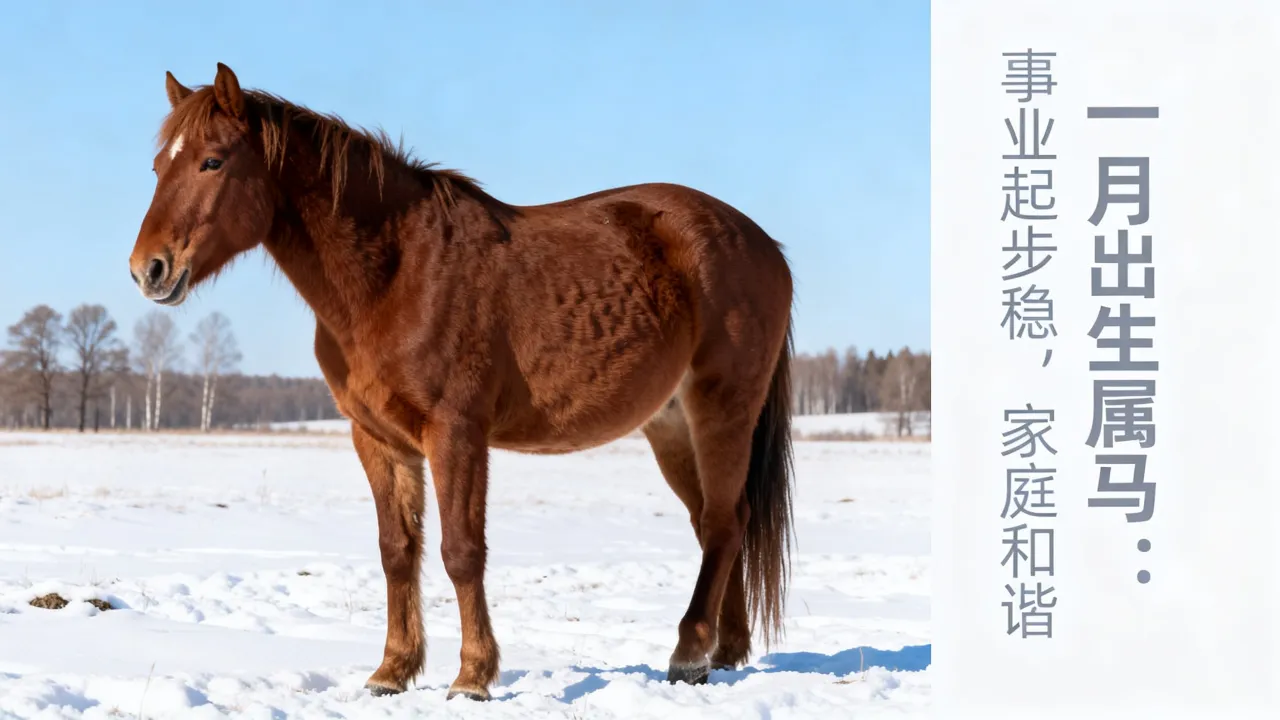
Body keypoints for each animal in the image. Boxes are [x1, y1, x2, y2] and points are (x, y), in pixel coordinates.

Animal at [128, 63, 796, 701]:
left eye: (213, 161)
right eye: (158, 166)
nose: (148, 269)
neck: (395, 274)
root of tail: (763, 244)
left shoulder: (455, 433)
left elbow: (460, 551)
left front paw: (473, 676)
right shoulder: (378, 438)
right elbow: (397, 550)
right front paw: (392, 671)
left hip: (721, 411)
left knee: (722, 523)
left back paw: (688, 655)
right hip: (671, 424)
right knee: (717, 522)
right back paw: (724, 653)